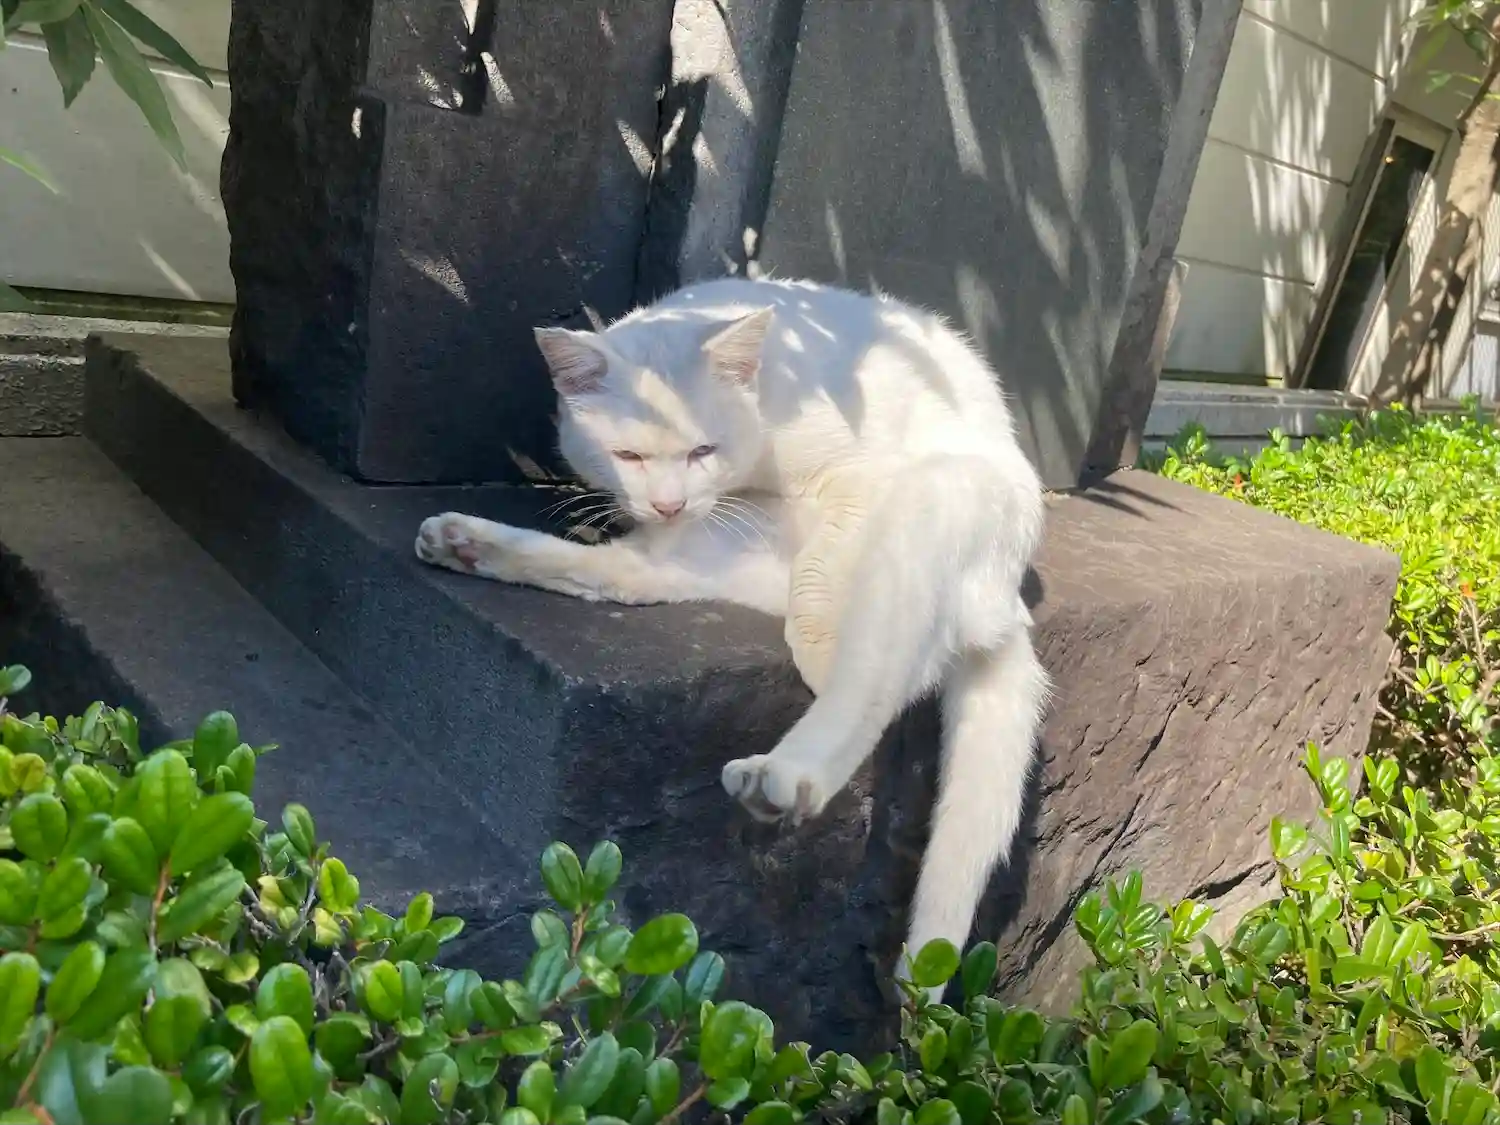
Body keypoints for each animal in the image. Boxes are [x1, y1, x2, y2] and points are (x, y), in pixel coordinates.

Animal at [415, 277, 1049, 990]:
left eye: (703, 450)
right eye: (628, 455)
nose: (667, 504)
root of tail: (1008, 605)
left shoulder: (859, 483)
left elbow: (822, 573)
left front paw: (818, 637)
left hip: (924, 511)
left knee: (890, 675)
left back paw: (787, 771)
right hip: (713, 551)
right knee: (625, 575)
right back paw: (466, 543)